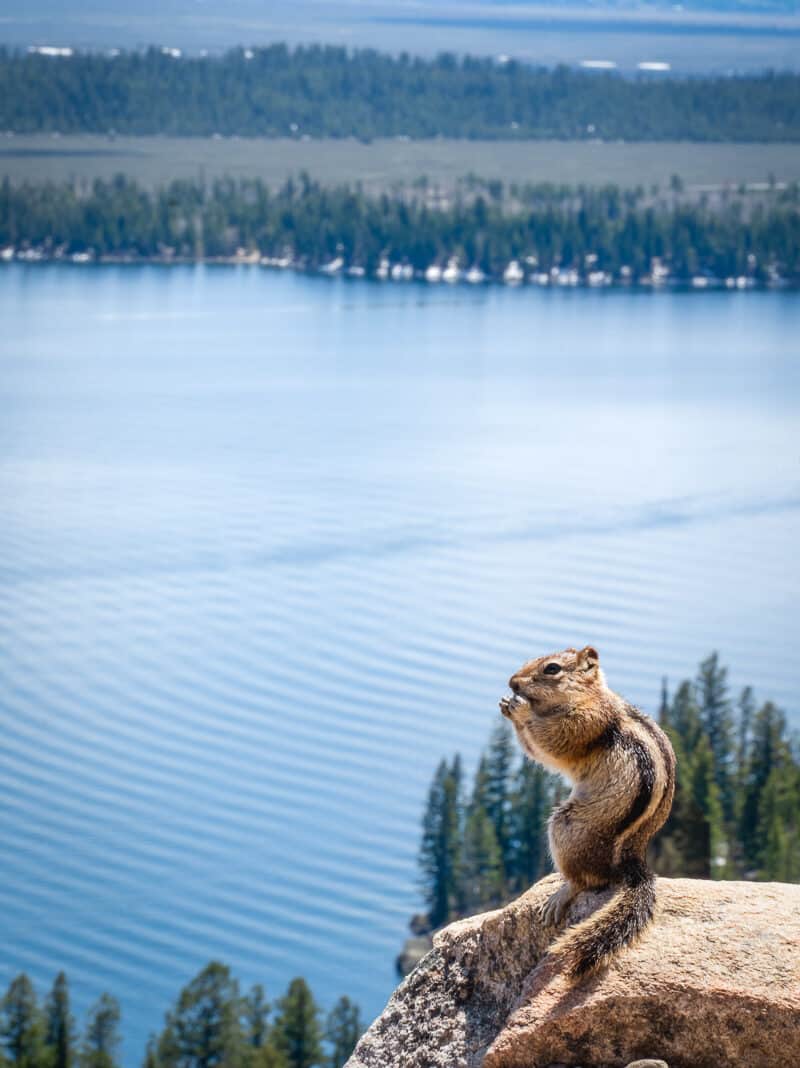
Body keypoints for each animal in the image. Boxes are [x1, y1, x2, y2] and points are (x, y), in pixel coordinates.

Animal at [499, 645, 675, 978]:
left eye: (552, 669)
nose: (512, 682)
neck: (589, 696)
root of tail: (631, 861)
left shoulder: (585, 723)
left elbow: (552, 743)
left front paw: (521, 709)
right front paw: (506, 704)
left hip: (567, 827)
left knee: (586, 881)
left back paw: (561, 894)